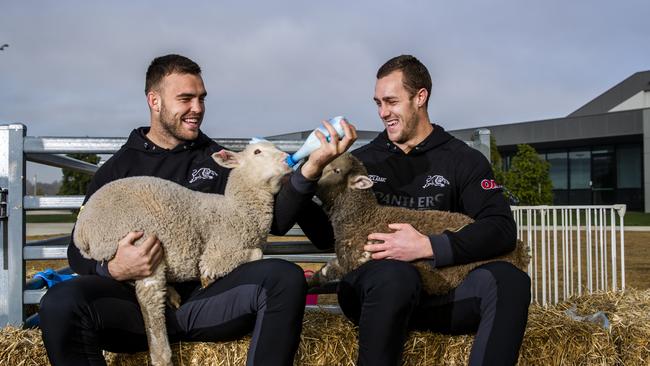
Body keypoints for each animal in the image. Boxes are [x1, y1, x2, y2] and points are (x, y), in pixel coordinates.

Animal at [73, 142, 292, 366]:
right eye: (257, 152)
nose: (288, 159)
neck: (239, 209)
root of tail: (82, 230)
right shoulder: (218, 251)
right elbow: (255, 254)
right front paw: (206, 279)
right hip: (142, 247)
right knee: (150, 305)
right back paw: (162, 356)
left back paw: (171, 294)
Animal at [308, 153, 528, 296]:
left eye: (336, 170)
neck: (361, 217)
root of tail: (519, 251)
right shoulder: (343, 261)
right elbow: (325, 271)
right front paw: (310, 282)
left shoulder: (357, 261)